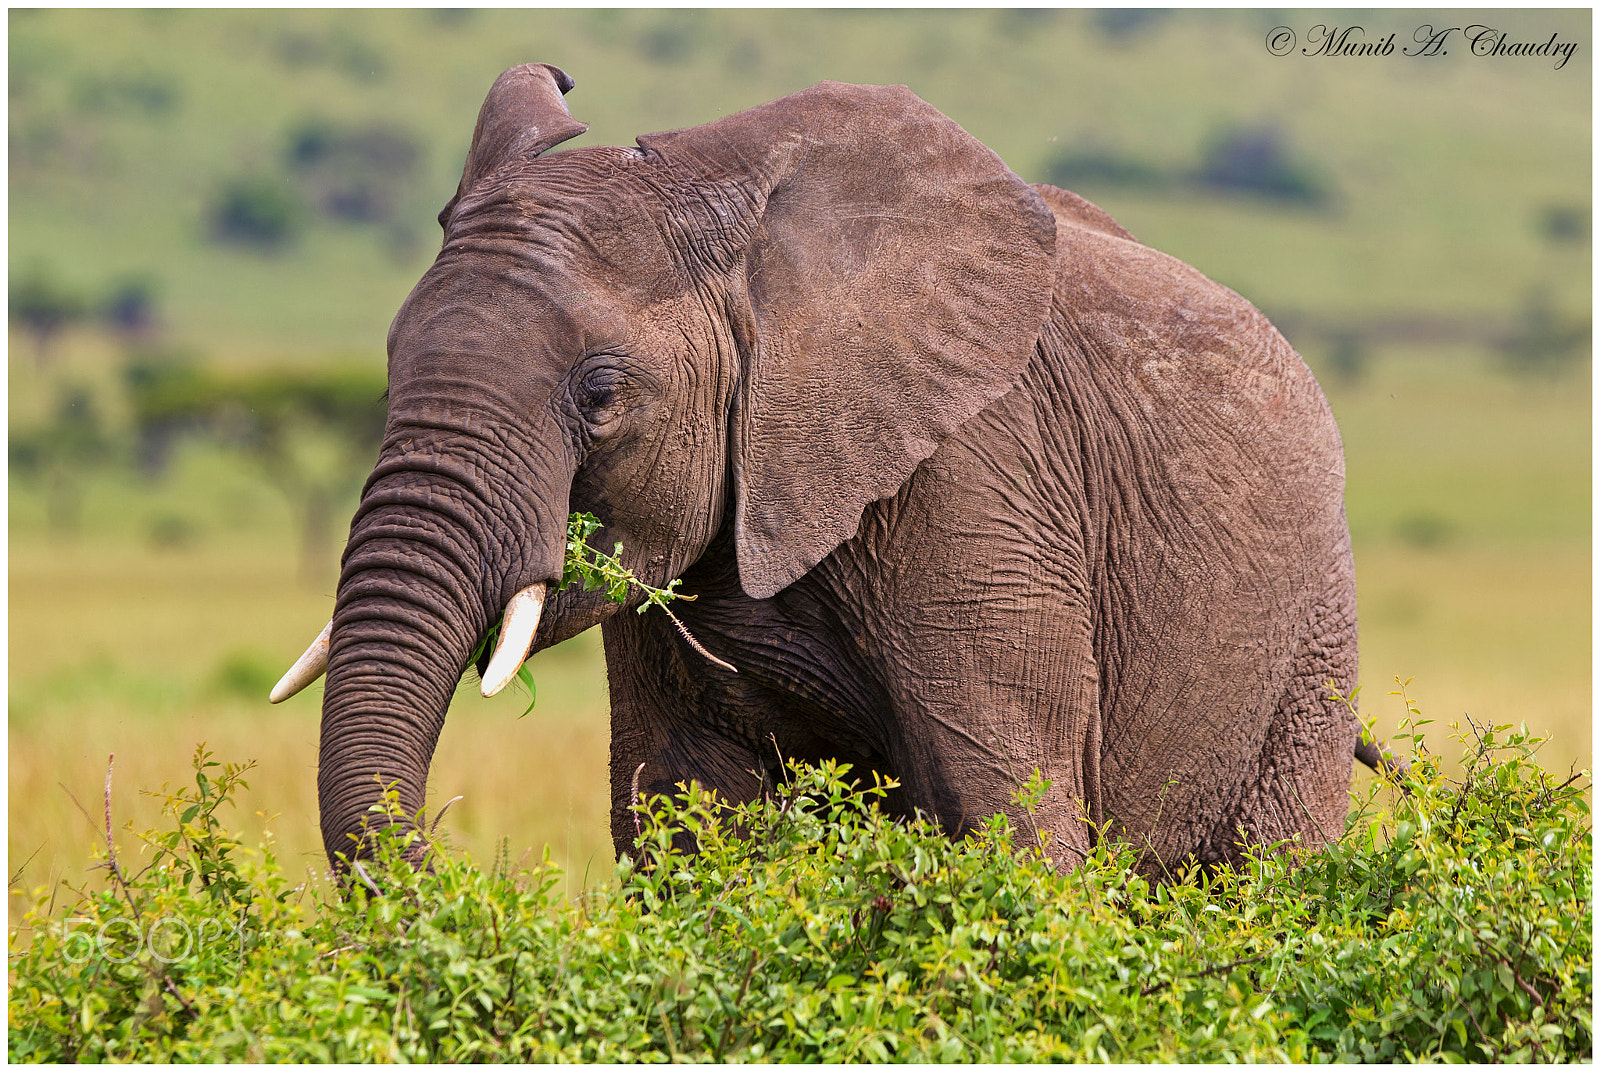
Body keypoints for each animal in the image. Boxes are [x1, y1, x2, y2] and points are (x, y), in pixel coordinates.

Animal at [275, 63, 1376, 876]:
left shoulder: (978, 485)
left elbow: (1005, 809)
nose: (448, 868)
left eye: (600, 393)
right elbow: (685, 812)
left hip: (1310, 630)